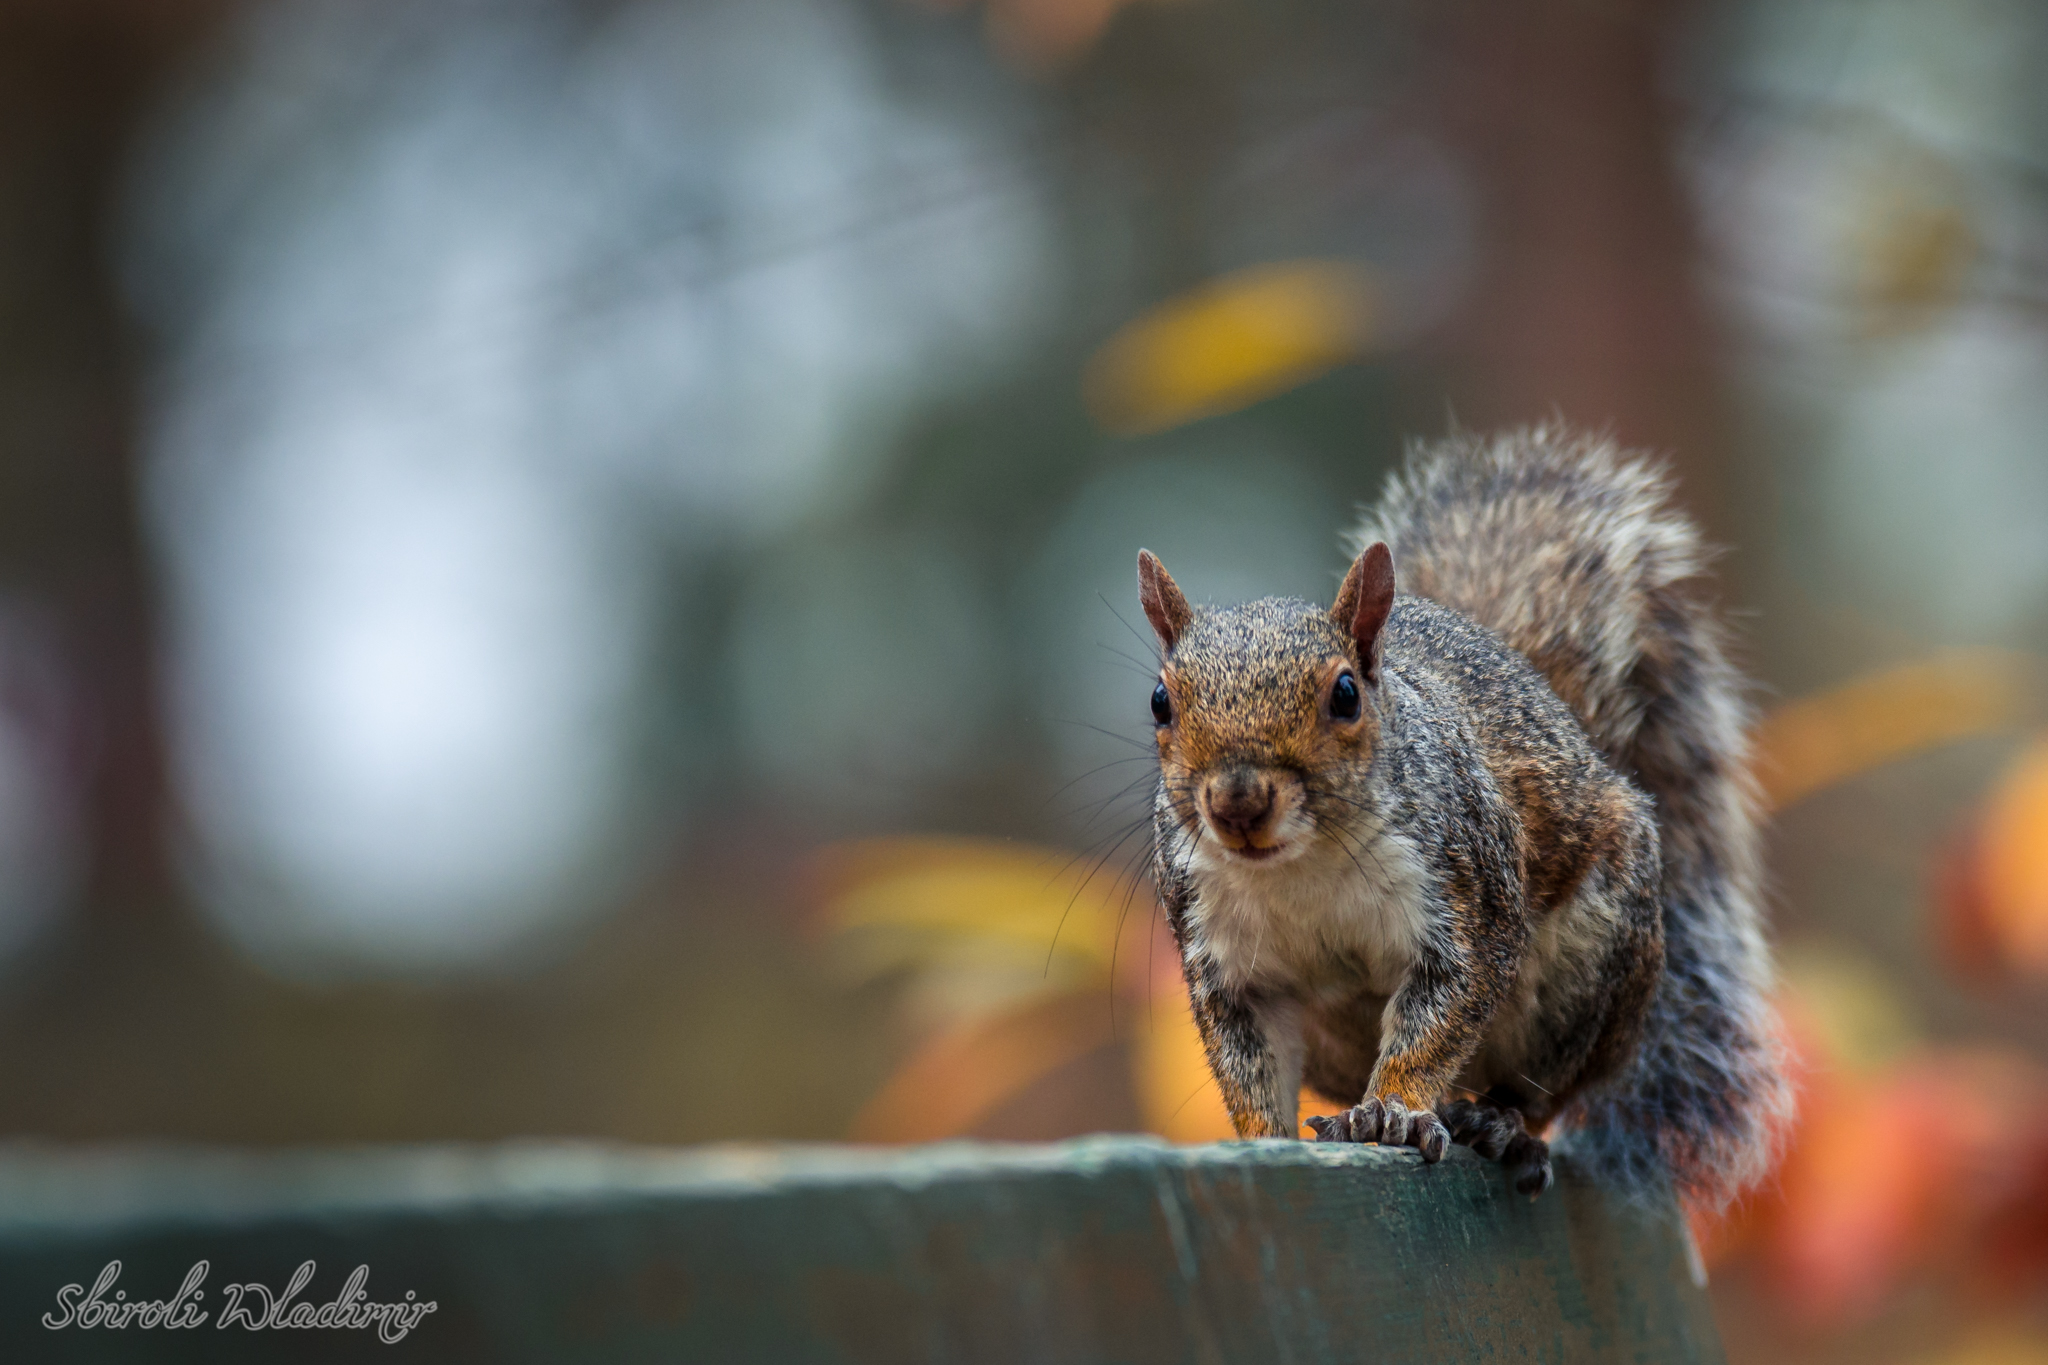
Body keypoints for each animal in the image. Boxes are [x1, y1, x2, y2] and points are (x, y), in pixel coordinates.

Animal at [1136, 426, 1787, 1202]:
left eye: (1346, 695)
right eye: (1159, 702)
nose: (1237, 803)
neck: (1301, 868)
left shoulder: (1469, 889)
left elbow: (1443, 1012)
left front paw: (1393, 1109)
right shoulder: (1225, 959)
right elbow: (1248, 1063)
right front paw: (1263, 1143)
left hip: (1593, 968)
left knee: (1543, 1088)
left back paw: (1498, 1122)